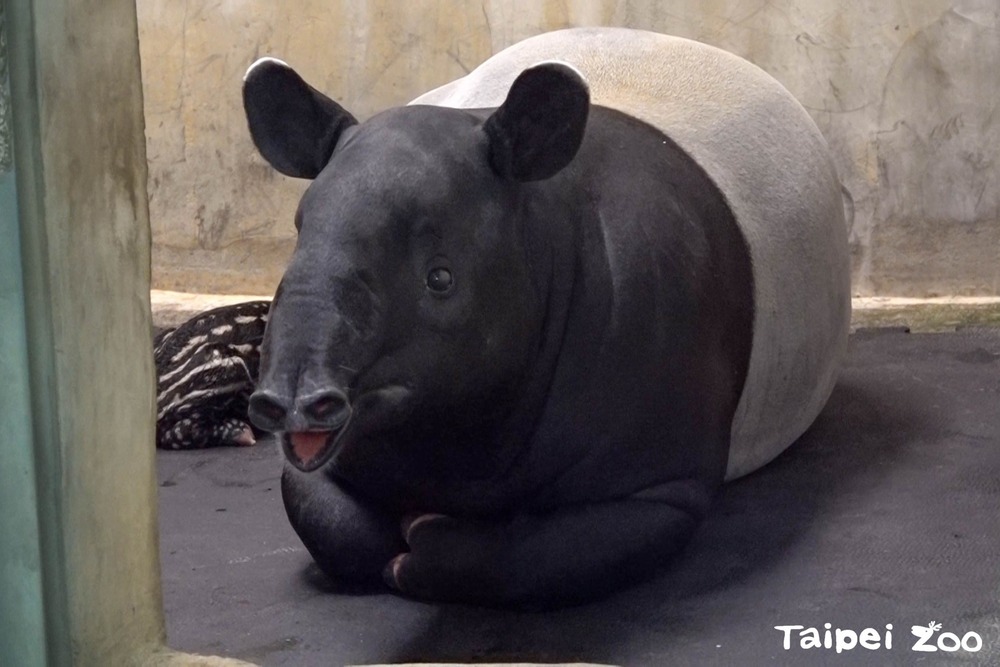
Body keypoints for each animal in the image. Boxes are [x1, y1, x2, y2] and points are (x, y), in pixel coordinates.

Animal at [238, 28, 848, 608]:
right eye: (296, 245)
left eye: (440, 278)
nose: (297, 402)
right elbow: (328, 520)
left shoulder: (660, 472)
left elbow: (536, 560)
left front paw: (424, 540)